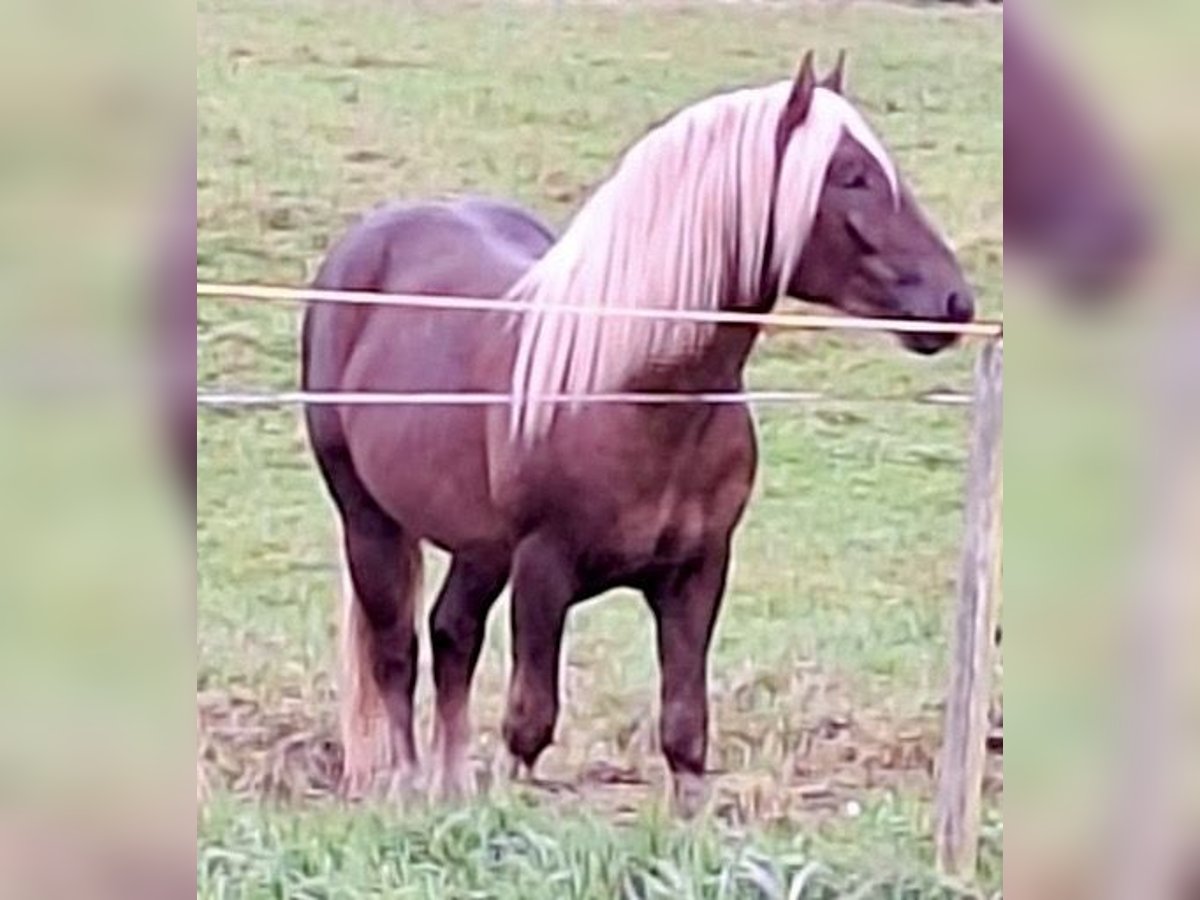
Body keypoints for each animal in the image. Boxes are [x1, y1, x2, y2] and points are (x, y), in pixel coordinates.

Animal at [297, 54, 974, 816]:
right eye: (850, 175)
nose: (954, 303)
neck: (641, 394)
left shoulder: (698, 572)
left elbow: (684, 730)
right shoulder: (543, 569)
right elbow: (529, 725)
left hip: (479, 548)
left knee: (452, 636)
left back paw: (451, 786)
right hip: (370, 520)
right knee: (397, 652)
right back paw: (411, 789)